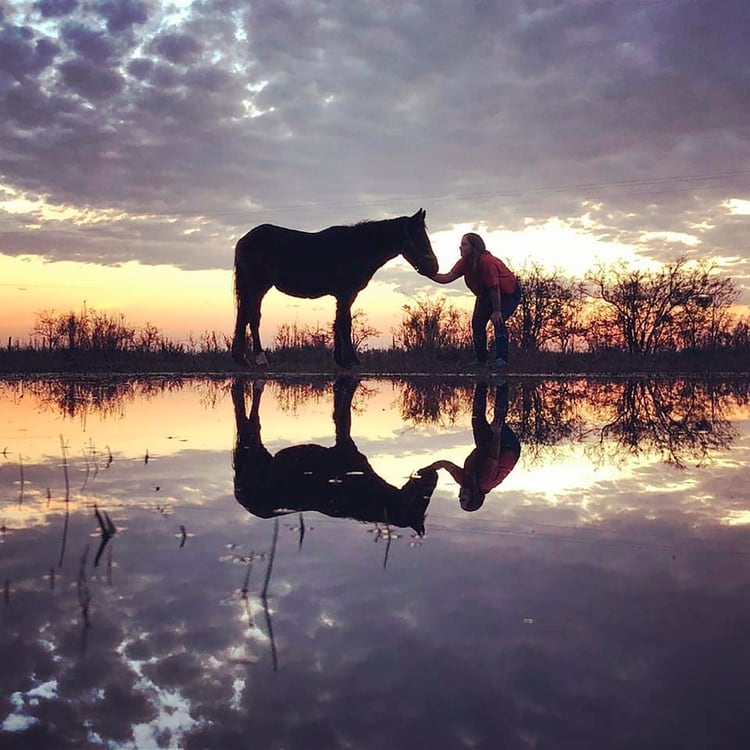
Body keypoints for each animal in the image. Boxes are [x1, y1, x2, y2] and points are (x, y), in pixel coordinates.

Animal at [232, 209, 438, 370]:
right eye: (417, 236)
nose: (434, 267)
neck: (358, 248)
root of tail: (243, 240)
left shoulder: (343, 296)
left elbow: (338, 322)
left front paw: (341, 360)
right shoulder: (346, 294)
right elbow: (345, 324)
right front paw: (352, 360)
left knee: (243, 316)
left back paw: (241, 359)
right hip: (258, 287)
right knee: (253, 317)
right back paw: (260, 359)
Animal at [232, 378, 438, 536]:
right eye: (424, 498)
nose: (434, 472)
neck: (370, 494)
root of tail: (241, 497)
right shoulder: (345, 443)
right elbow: (343, 415)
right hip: (253, 446)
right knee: (248, 417)